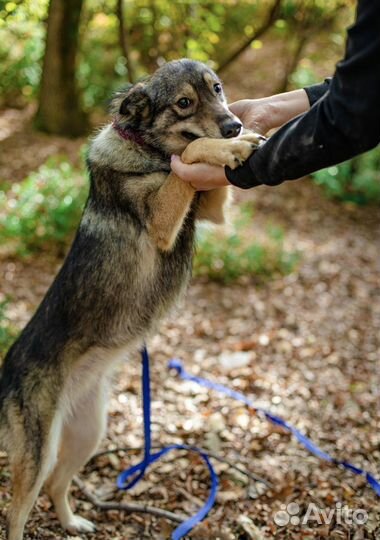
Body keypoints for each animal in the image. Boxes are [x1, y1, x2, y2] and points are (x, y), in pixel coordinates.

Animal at [0, 59, 262, 540]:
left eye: (217, 89)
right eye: (184, 102)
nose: (234, 125)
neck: (147, 150)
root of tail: (5, 373)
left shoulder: (211, 207)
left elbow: (197, 169)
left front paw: (236, 143)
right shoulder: (162, 217)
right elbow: (189, 157)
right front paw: (228, 147)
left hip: (88, 433)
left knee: (58, 485)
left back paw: (74, 522)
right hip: (38, 452)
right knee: (16, 513)